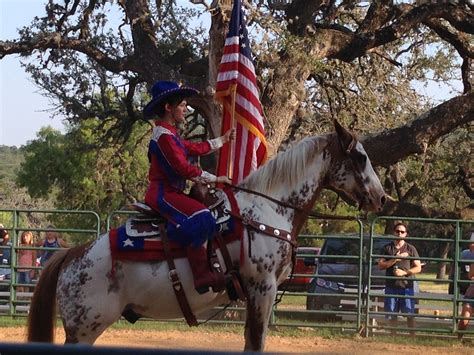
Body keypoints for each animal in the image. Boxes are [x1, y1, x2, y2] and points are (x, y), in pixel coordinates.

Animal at [25, 121, 386, 352]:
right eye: (361, 157)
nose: (381, 198)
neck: (268, 211)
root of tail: (72, 255)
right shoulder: (262, 289)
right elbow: (256, 343)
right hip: (85, 328)